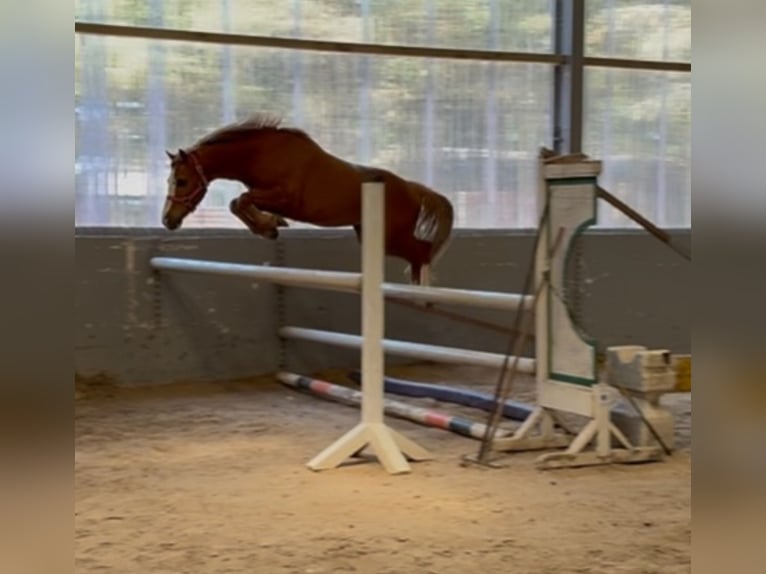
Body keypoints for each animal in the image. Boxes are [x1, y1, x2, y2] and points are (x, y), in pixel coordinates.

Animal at [161, 114, 454, 285]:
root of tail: (412, 189)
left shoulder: (285, 199)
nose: (167, 220)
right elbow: (238, 203)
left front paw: (268, 227)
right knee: (419, 255)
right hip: (373, 236)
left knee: (423, 252)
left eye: (182, 181)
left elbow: (241, 200)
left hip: (391, 237)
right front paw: (270, 226)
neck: (261, 155)